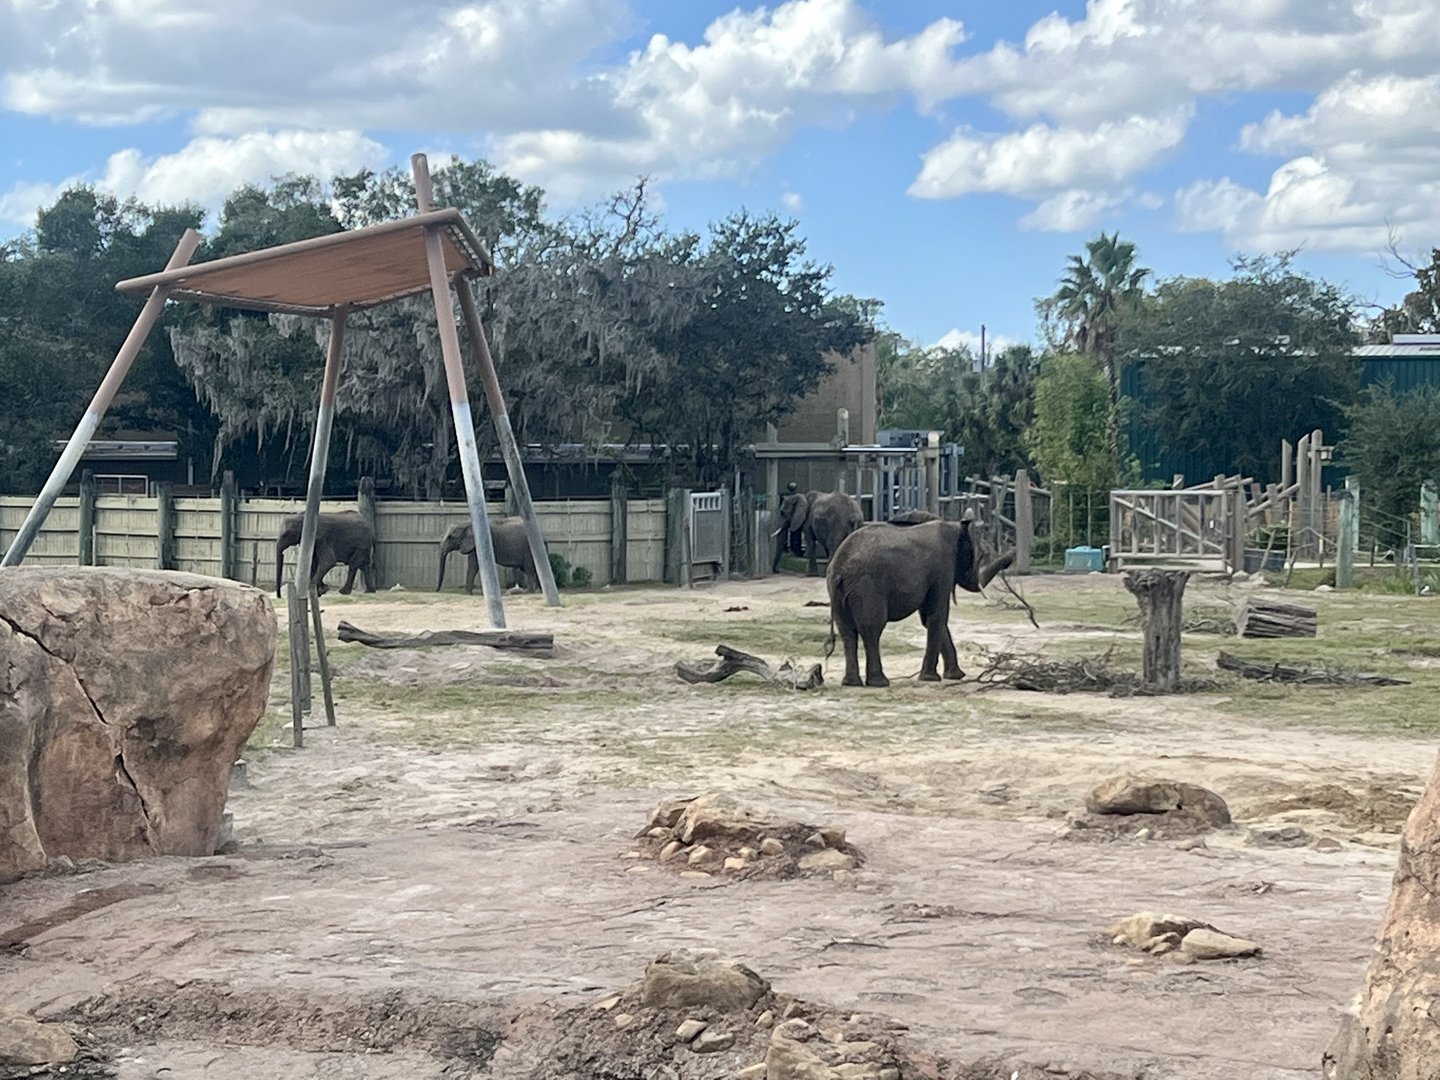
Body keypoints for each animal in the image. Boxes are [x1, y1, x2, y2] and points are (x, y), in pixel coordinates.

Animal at [825, 517, 1013, 688]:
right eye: (978, 557)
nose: (1010, 558)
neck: (954, 526)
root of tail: (839, 567)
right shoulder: (942, 570)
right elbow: (937, 616)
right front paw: (931, 678)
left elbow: (929, 619)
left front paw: (956, 676)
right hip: (867, 586)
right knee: (871, 628)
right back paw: (879, 683)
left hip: (838, 592)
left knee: (847, 630)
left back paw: (851, 683)